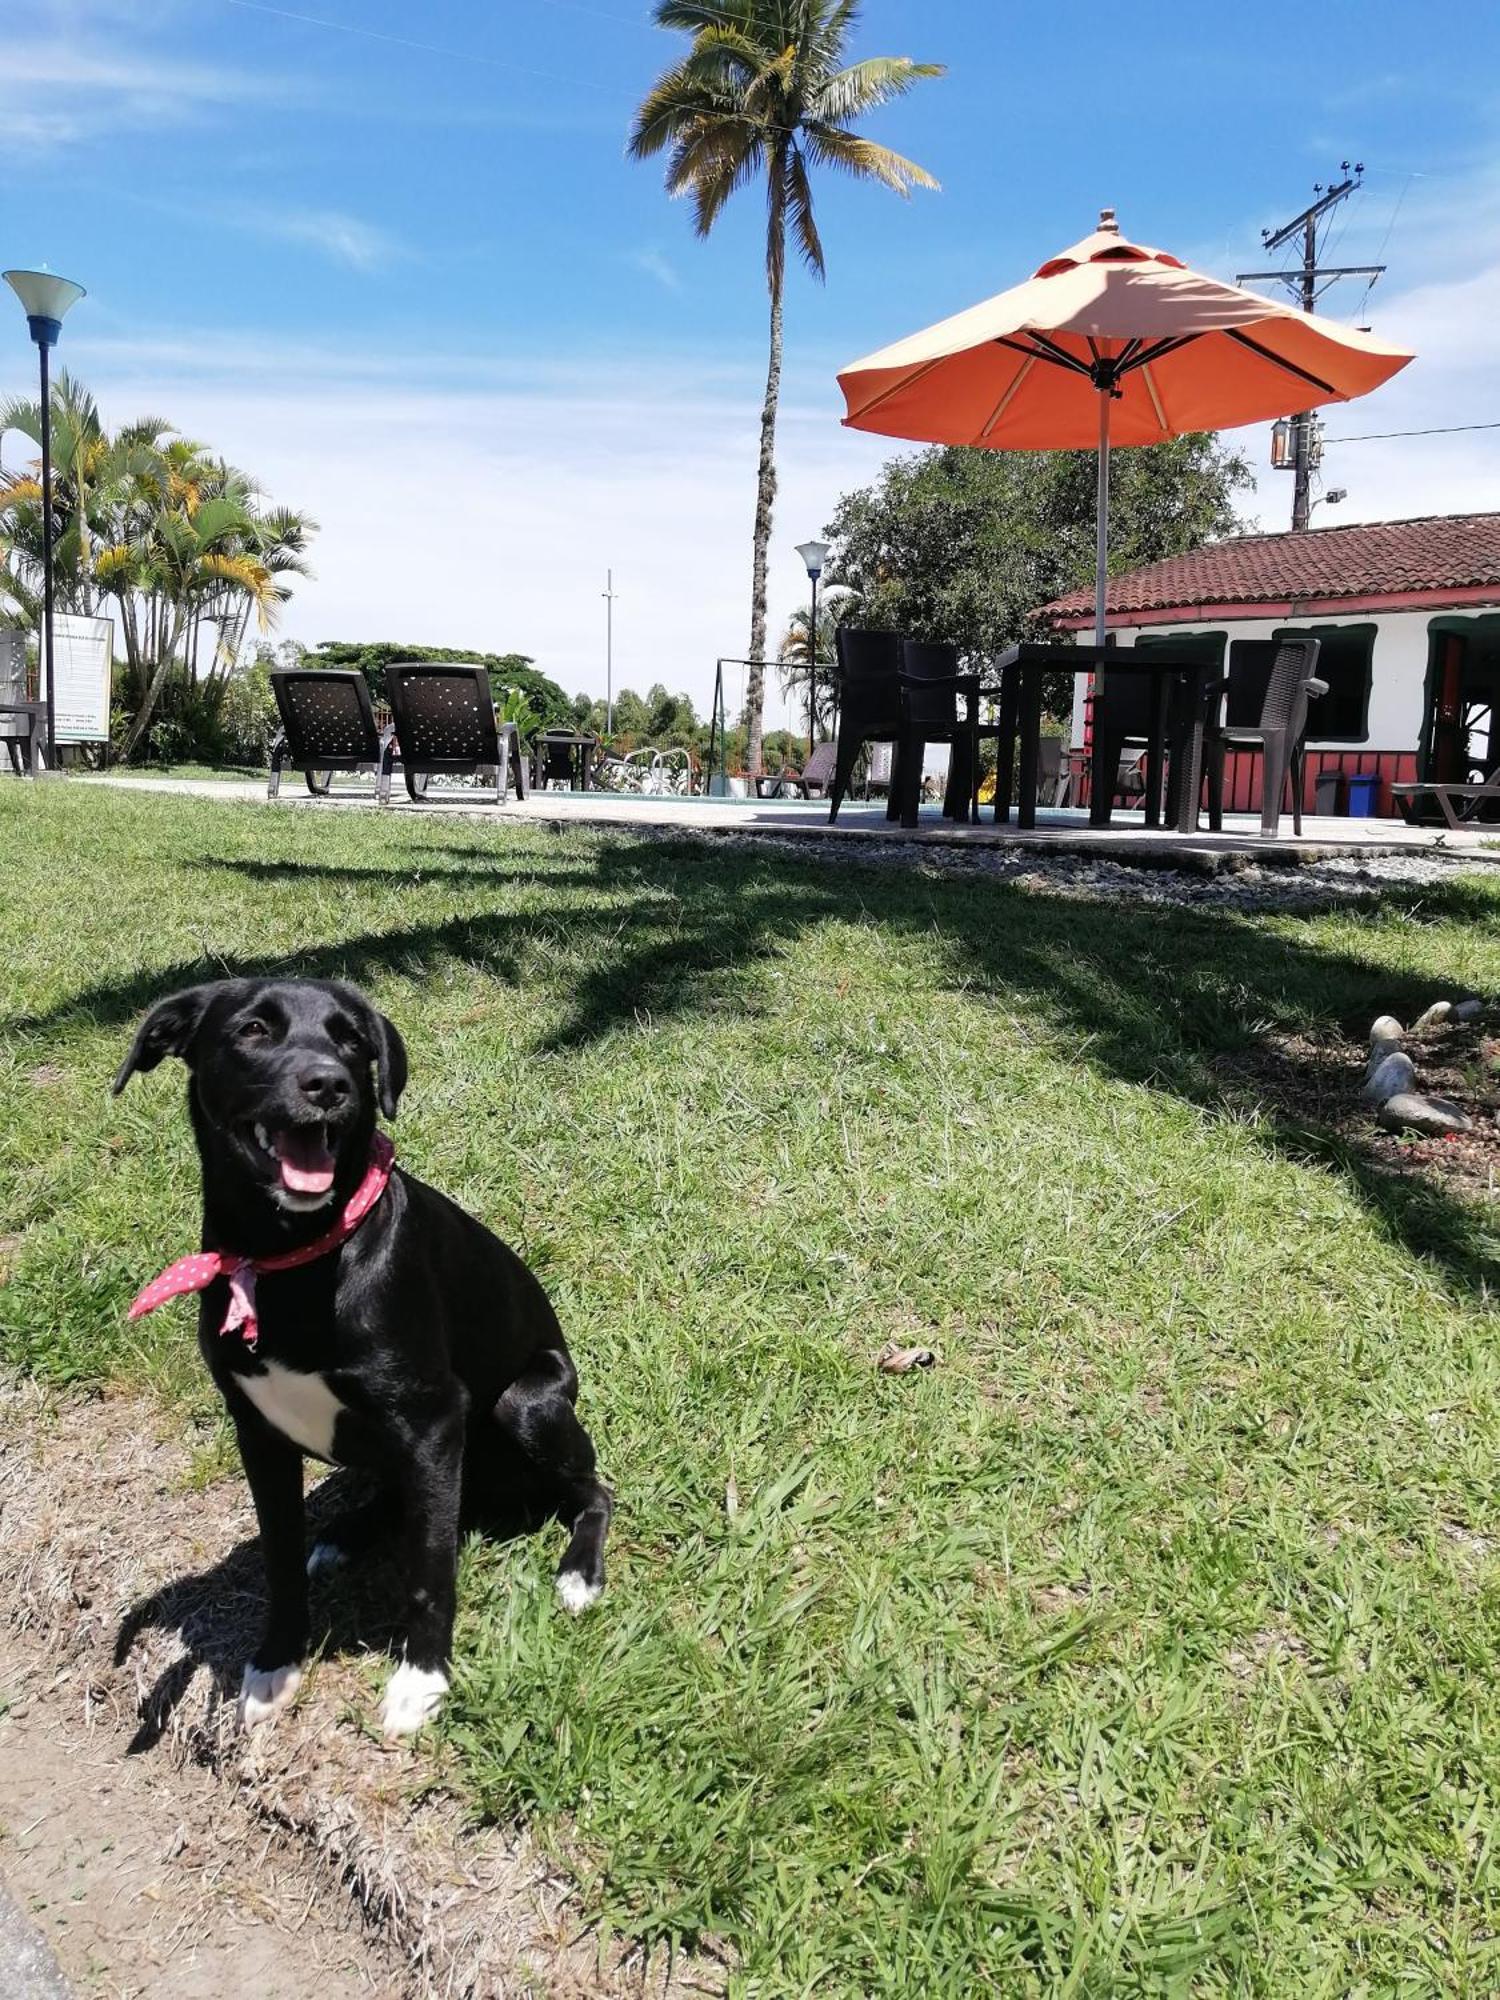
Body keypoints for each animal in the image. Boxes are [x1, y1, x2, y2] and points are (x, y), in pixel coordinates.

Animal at [114, 980, 612, 1736]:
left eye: (351, 1039)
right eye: (253, 1030)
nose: (330, 1084)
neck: (290, 1258)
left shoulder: (433, 1422)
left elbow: (430, 1571)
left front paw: (421, 1678)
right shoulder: (257, 1432)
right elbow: (281, 1557)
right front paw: (277, 1660)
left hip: (525, 1404)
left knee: (592, 1492)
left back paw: (580, 1572)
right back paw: (348, 1533)